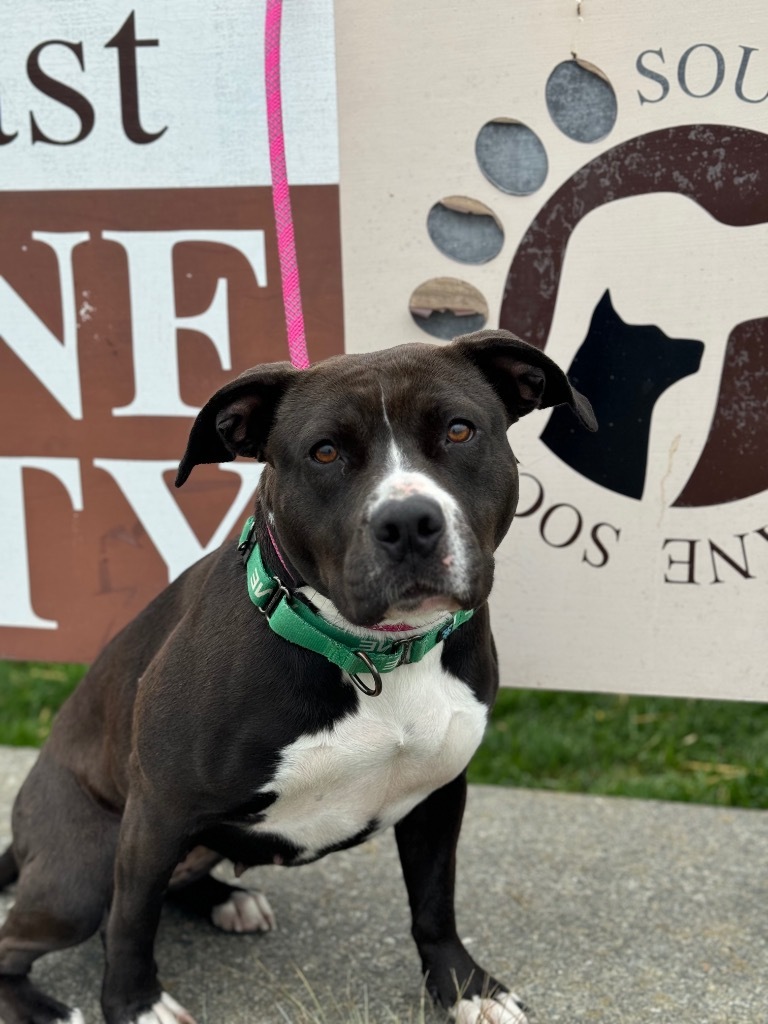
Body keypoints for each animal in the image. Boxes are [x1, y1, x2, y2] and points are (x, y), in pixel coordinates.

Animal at [0, 329, 598, 1024]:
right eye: (325, 452)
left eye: (458, 431)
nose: (408, 523)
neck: (374, 655)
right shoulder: (157, 809)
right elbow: (131, 922)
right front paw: (133, 1006)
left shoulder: (441, 792)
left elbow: (434, 904)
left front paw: (464, 988)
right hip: (86, 868)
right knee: (42, 933)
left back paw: (226, 899)